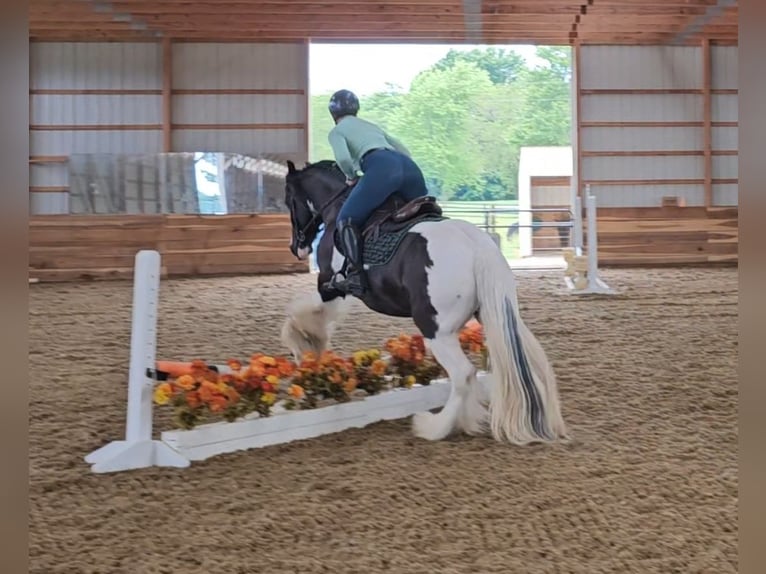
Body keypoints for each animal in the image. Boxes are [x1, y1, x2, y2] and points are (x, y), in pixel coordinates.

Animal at [282, 160, 568, 448]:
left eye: (288, 200)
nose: (297, 247)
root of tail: (478, 247)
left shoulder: (329, 285)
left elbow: (304, 317)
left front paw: (304, 349)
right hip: (495, 315)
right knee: (524, 362)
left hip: (436, 330)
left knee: (463, 374)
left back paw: (434, 427)